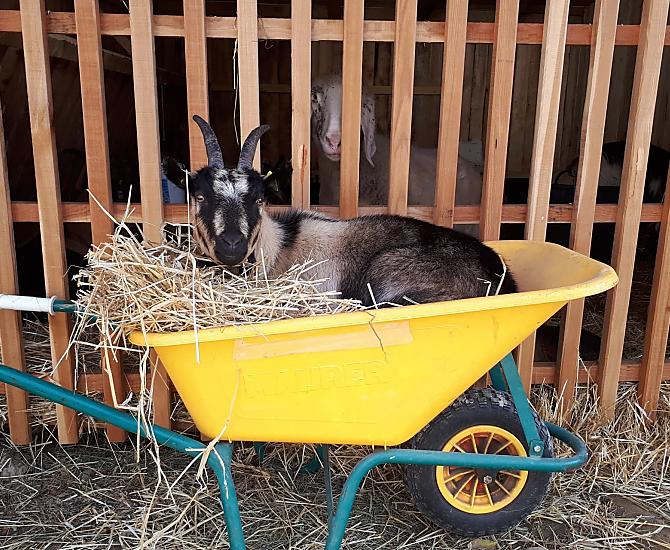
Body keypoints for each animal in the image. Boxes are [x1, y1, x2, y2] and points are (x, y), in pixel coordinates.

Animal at [187, 115, 517, 307]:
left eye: (258, 200)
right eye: (200, 197)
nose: (232, 245)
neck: (282, 245)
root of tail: (503, 280)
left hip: (387, 274)